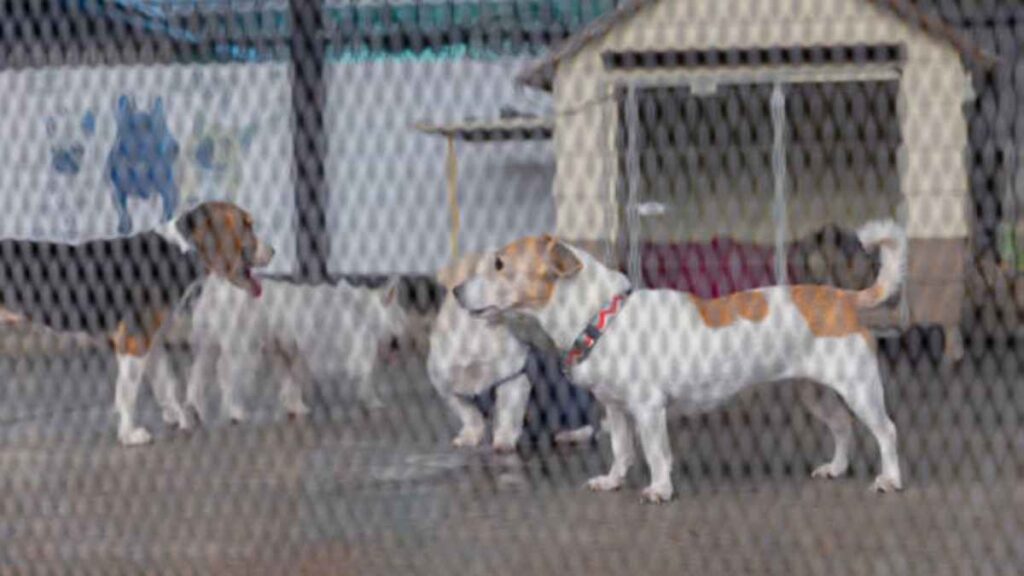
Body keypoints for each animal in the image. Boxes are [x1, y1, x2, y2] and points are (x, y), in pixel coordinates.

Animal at [452, 219, 909, 502]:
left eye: (499, 263)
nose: (455, 291)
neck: (602, 314)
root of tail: (842, 297)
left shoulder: (648, 409)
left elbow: (656, 453)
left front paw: (660, 489)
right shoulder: (615, 409)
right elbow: (621, 450)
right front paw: (613, 480)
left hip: (860, 389)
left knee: (886, 431)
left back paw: (890, 478)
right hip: (816, 395)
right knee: (843, 428)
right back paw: (836, 468)